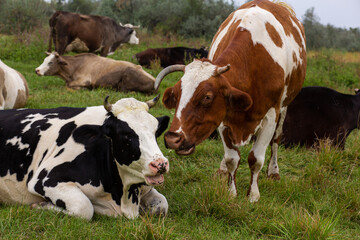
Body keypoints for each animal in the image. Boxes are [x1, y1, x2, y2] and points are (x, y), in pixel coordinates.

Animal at [0, 95, 171, 219]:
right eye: (126, 136)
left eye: (155, 132)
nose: (160, 164)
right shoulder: (44, 180)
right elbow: (85, 208)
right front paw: (41, 205)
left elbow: (162, 205)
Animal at [154, 0, 306, 202]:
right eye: (177, 95)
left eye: (207, 97)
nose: (173, 139)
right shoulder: (223, 118)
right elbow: (232, 158)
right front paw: (231, 192)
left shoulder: (271, 115)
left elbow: (256, 159)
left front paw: (253, 195)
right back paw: (222, 170)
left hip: (284, 106)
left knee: (276, 140)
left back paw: (274, 171)